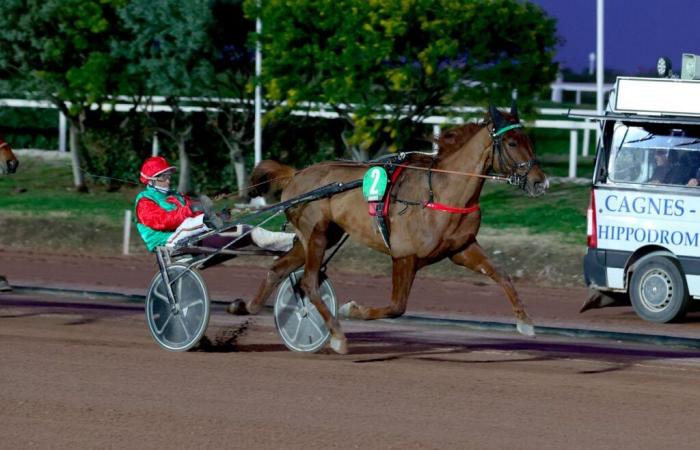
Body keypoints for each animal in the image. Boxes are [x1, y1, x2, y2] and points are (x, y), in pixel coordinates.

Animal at [230, 103, 548, 354]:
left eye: (529, 139)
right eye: (511, 143)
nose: (540, 182)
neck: (442, 191)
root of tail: (296, 173)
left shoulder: (462, 249)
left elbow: (502, 275)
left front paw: (525, 322)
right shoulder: (404, 255)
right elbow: (397, 307)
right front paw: (352, 309)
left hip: (320, 237)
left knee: (278, 268)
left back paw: (246, 307)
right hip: (315, 233)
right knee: (308, 282)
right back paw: (337, 336)